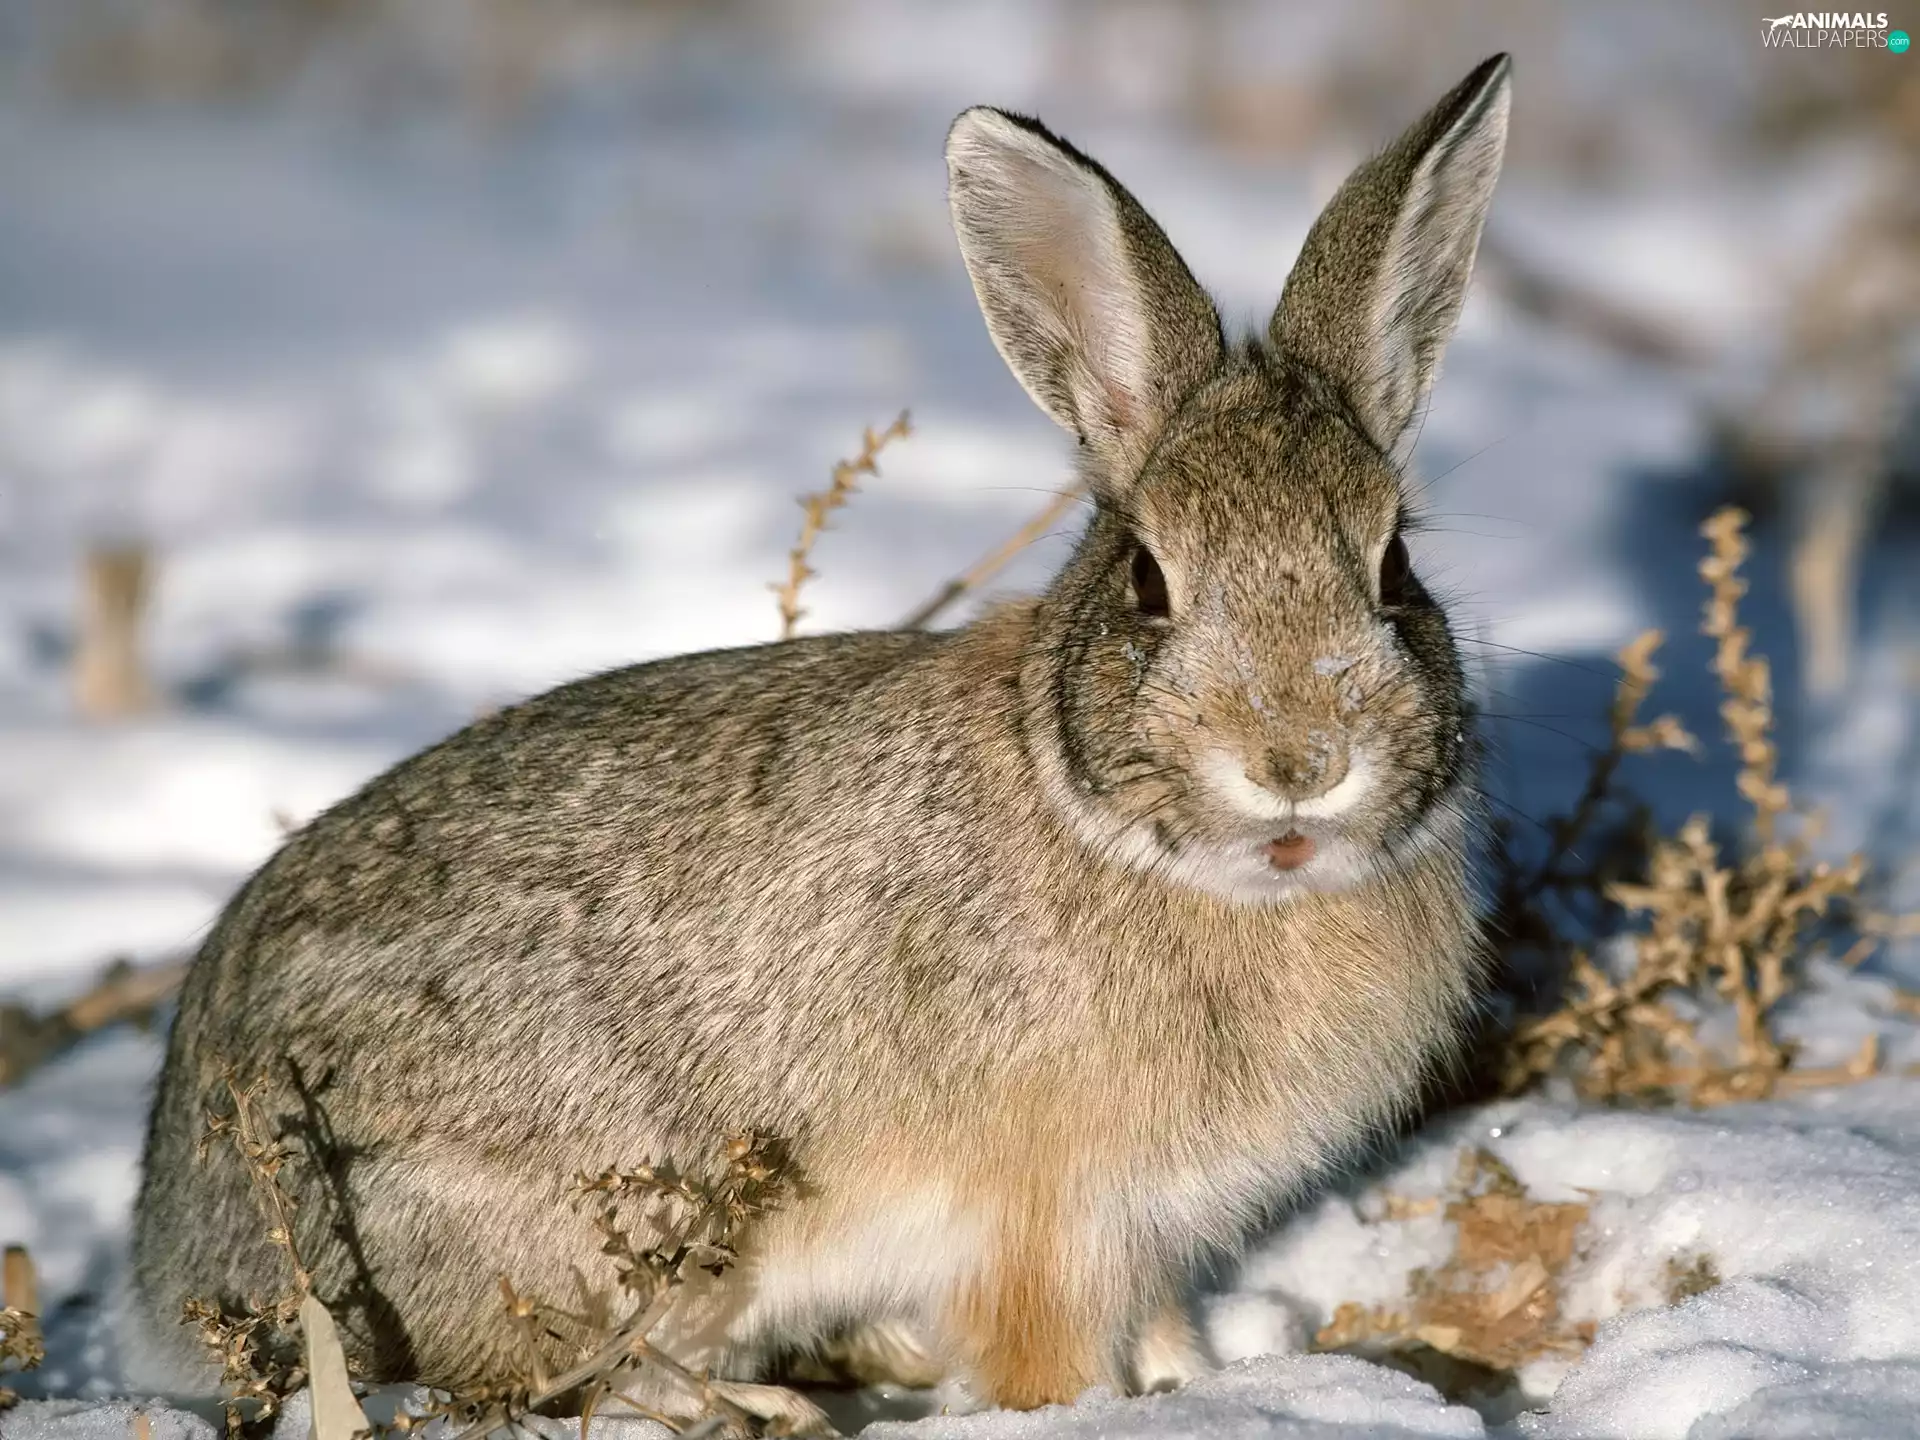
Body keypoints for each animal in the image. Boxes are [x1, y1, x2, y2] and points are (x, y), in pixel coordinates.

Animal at [130, 53, 1510, 1433]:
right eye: (1147, 581)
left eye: (1394, 568)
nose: (1299, 762)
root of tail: (172, 1248)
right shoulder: (1043, 1225)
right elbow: (1043, 1358)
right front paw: (1088, 1407)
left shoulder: (1149, 1234)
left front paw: (1199, 1382)